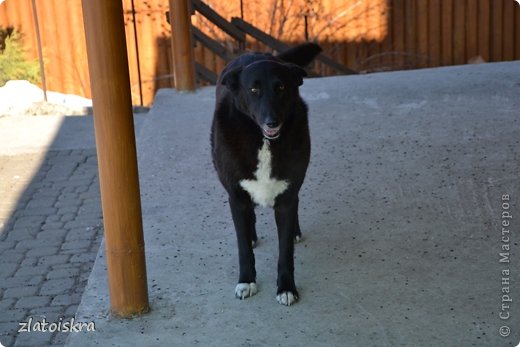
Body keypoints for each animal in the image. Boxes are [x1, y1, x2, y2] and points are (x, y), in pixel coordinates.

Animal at [211, 43, 320, 308]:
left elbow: (285, 253)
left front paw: (286, 287)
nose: (272, 121)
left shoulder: (287, 198)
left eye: (280, 88)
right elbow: (243, 249)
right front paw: (246, 281)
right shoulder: (236, 197)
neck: (263, 141)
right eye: (254, 90)